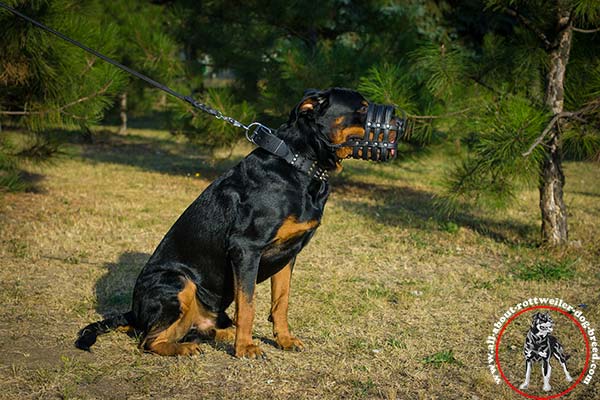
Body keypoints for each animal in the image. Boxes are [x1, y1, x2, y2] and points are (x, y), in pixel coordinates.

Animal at [76, 89, 404, 358]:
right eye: (362, 108)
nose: (401, 123)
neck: (299, 163)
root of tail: (132, 312)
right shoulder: (246, 249)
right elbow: (248, 305)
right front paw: (246, 348)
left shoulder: (288, 254)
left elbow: (281, 302)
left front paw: (284, 340)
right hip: (178, 282)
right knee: (148, 341)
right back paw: (186, 348)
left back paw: (219, 334)